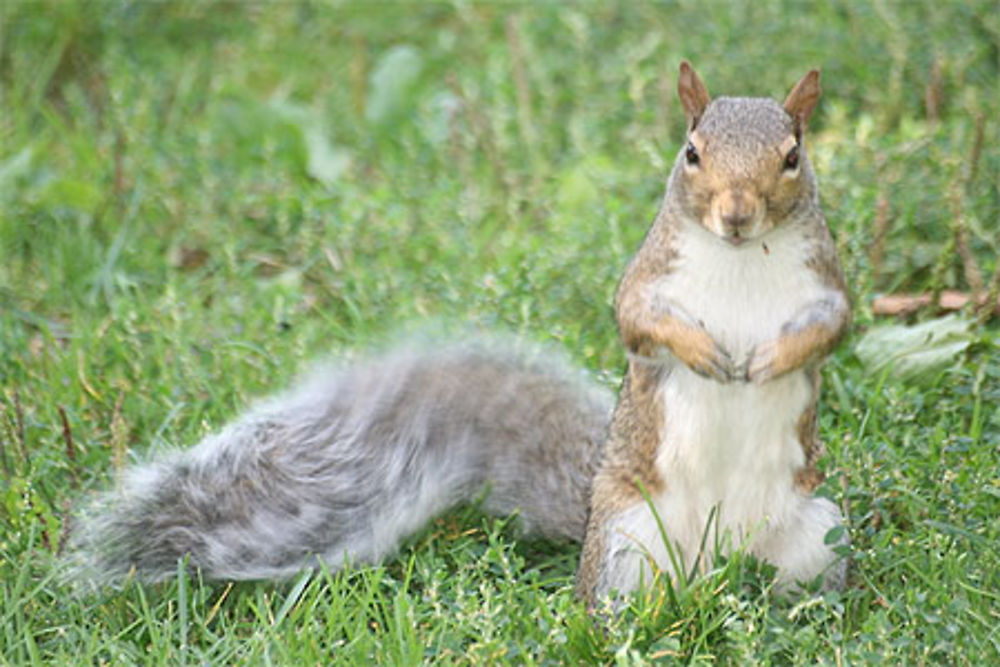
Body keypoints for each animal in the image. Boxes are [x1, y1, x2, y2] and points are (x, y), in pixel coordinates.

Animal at [68, 64, 852, 604]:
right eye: (692, 152)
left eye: (792, 155)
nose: (737, 214)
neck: (740, 258)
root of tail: (706, 567)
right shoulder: (646, 281)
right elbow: (638, 320)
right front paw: (708, 354)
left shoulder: (826, 288)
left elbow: (829, 330)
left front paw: (768, 359)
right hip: (628, 544)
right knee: (619, 611)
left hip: (815, 532)